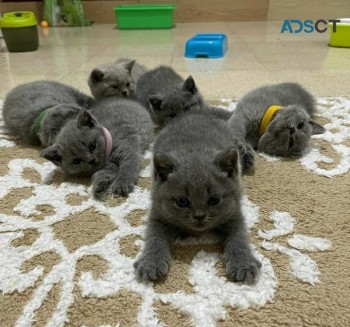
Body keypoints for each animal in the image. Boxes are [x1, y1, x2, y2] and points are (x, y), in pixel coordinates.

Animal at [134, 112, 260, 284]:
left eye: (214, 200)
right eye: (182, 201)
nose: (199, 216)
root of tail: (196, 114)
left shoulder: (234, 213)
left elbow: (239, 236)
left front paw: (243, 263)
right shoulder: (158, 213)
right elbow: (154, 236)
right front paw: (151, 262)